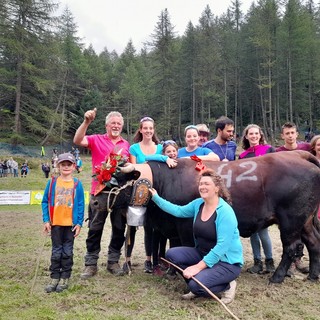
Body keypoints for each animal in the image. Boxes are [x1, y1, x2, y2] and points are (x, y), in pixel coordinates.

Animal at [109, 151, 320, 284]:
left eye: (115, 182)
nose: (102, 200)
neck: (165, 180)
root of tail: (298, 154)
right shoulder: (173, 226)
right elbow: (174, 248)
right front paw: (171, 272)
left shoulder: (185, 226)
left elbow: (183, 247)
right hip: (305, 222)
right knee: (314, 243)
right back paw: (312, 275)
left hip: (290, 222)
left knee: (291, 248)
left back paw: (277, 277)